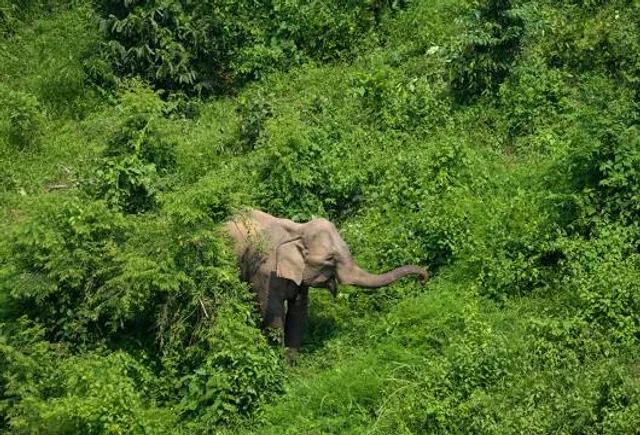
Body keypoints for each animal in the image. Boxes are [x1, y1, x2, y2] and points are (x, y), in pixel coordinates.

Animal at [224, 208, 428, 363]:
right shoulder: (265, 273)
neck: (298, 229)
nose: (423, 280)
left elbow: (298, 313)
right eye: (331, 258)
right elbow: (273, 315)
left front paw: (291, 366)